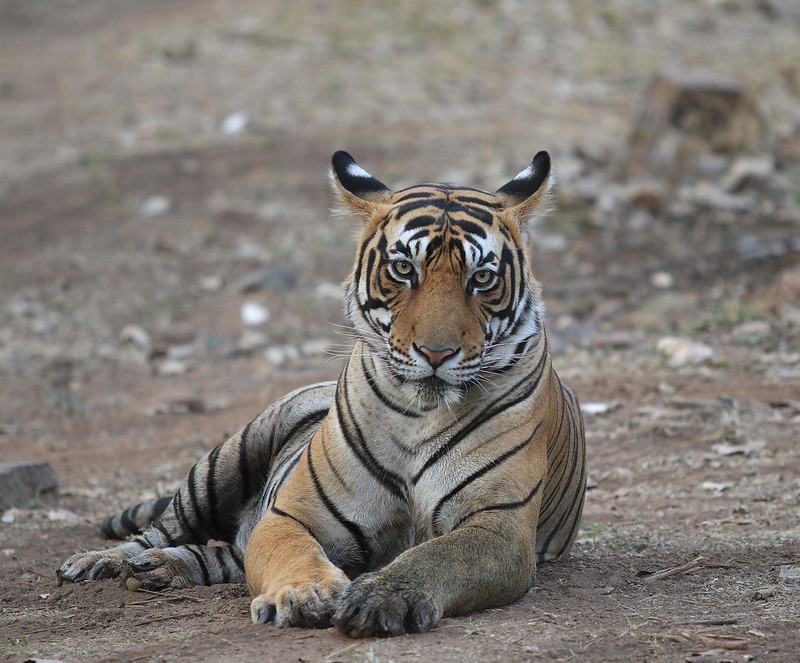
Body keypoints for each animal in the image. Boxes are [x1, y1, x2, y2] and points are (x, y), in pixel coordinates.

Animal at [57, 150, 586, 638]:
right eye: (403, 269)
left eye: (482, 278)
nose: (436, 353)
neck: (421, 411)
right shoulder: (291, 514)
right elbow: (291, 553)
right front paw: (303, 594)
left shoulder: (498, 524)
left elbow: (435, 557)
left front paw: (382, 597)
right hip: (225, 460)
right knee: (160, 530)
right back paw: (102, 561)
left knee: (227, 555)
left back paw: (162, 570)